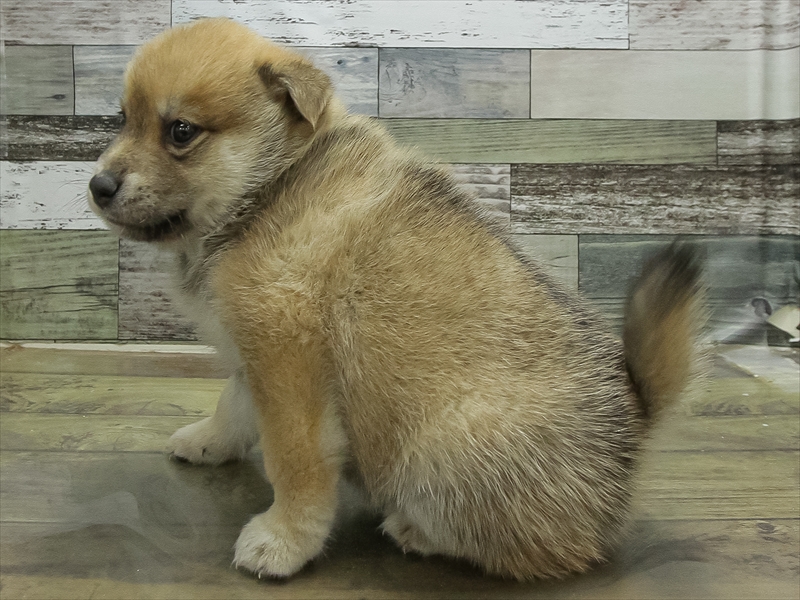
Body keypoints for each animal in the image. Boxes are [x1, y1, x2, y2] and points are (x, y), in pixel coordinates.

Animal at [88, 18, 705, 580]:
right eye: (122, 120)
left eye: (180, 131)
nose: (97, 186)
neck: (270, 189)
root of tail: (633, 416)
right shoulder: (253, 355)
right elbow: (232, 405)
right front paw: (208, 442)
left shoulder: (288, 363)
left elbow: (295, 461)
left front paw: (284, 541)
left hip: (444, 447)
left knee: (545, 549)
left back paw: (419, 532)